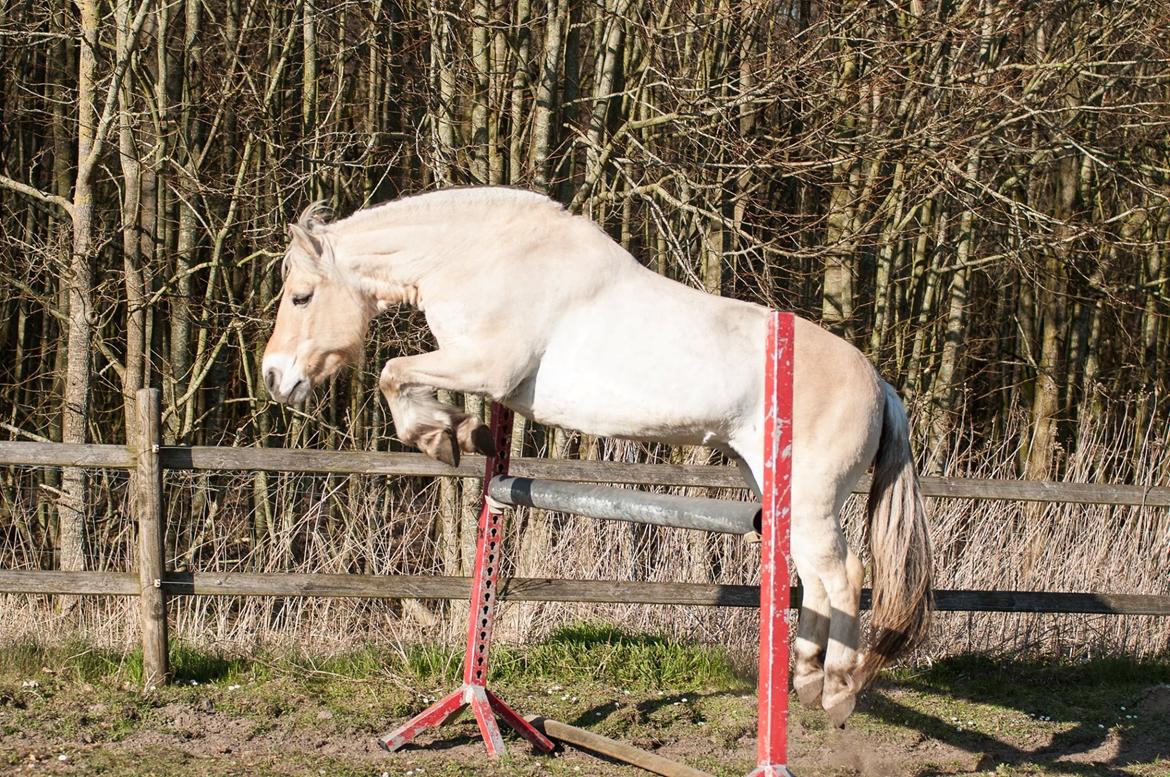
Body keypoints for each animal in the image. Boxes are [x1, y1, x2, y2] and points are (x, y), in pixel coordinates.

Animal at [260, 184, 926, 725]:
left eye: (301, 297)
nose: (273, 378)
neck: (482, 256)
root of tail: (879, 383)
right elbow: (404, 380)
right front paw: (464, 434)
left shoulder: (487, 366)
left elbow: (394, 373)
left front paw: (445, 435)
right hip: (776, 490)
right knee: (814, 579)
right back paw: (808, 680)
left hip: (811, 498)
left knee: (844, 576)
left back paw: (837, 692)